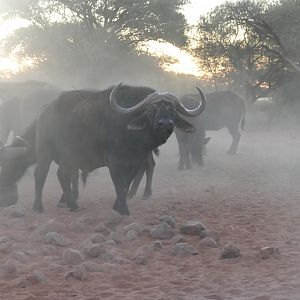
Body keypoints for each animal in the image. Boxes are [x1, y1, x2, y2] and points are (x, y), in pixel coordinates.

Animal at [0, 84, 206, 216]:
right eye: (151, 109)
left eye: (173, 109)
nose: (165, 124)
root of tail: (44, 111)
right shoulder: (113, 162)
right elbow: (118, 184)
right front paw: (123, 210)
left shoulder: (135, 161)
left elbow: (124, 184)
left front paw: (118, 205)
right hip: (45, 151)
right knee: (41, 175)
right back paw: (38, 206)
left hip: (67, 156)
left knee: (61, 175)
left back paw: (73, 205)